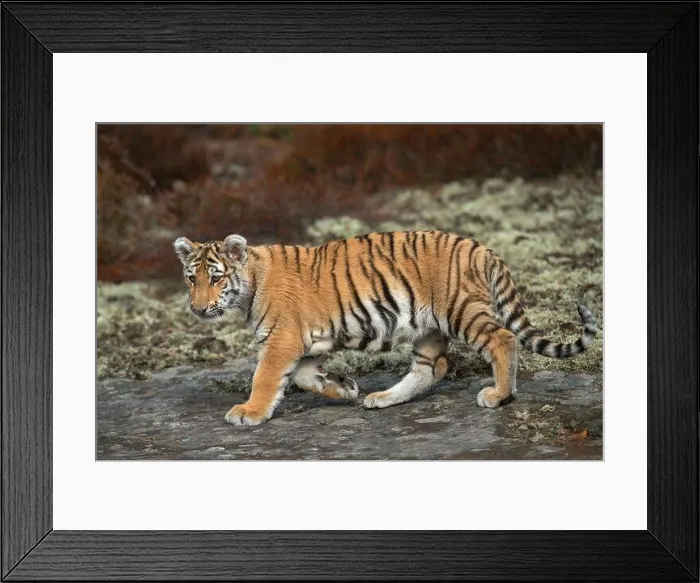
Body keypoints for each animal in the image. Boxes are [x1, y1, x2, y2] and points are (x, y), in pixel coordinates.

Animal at [174, 230, 597, 426]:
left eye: (215, 278)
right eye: (191, 279)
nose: (197, 308)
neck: (249, 286)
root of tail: (480, 247)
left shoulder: (282, 341)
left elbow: (265, 378)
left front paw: (249, 412)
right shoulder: (306, 343)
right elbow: (305, 378)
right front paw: (344, 388)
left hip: (460, 310)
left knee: (503, 338)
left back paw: (500, 395)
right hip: (428, 327)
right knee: (433, 368)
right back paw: (382, 398)